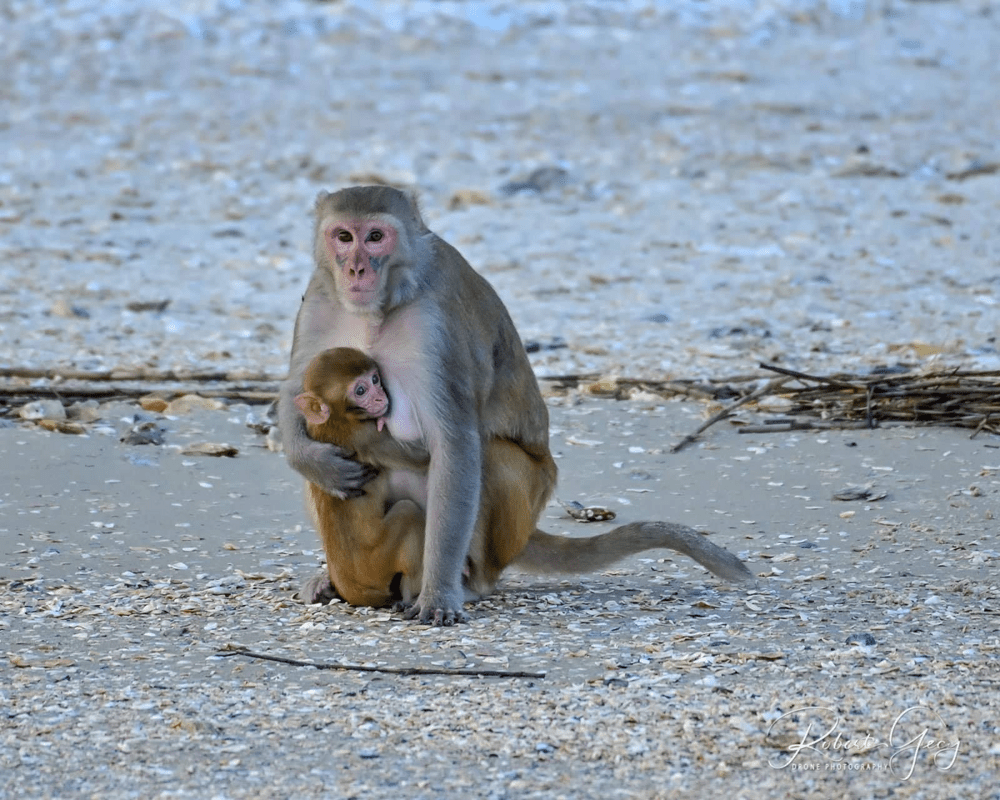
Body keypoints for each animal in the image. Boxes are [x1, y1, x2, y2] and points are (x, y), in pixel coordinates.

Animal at [278, 186, 556, 624]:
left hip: (524, 508)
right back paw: (330, 578)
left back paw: (467, 583)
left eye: (376, 237)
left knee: (492, 457)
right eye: (344, 236)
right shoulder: (319, 299)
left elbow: (453, 442)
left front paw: (438, 594)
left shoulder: (435, 323)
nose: (356, 270)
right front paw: (314, 461)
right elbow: (296, 390)